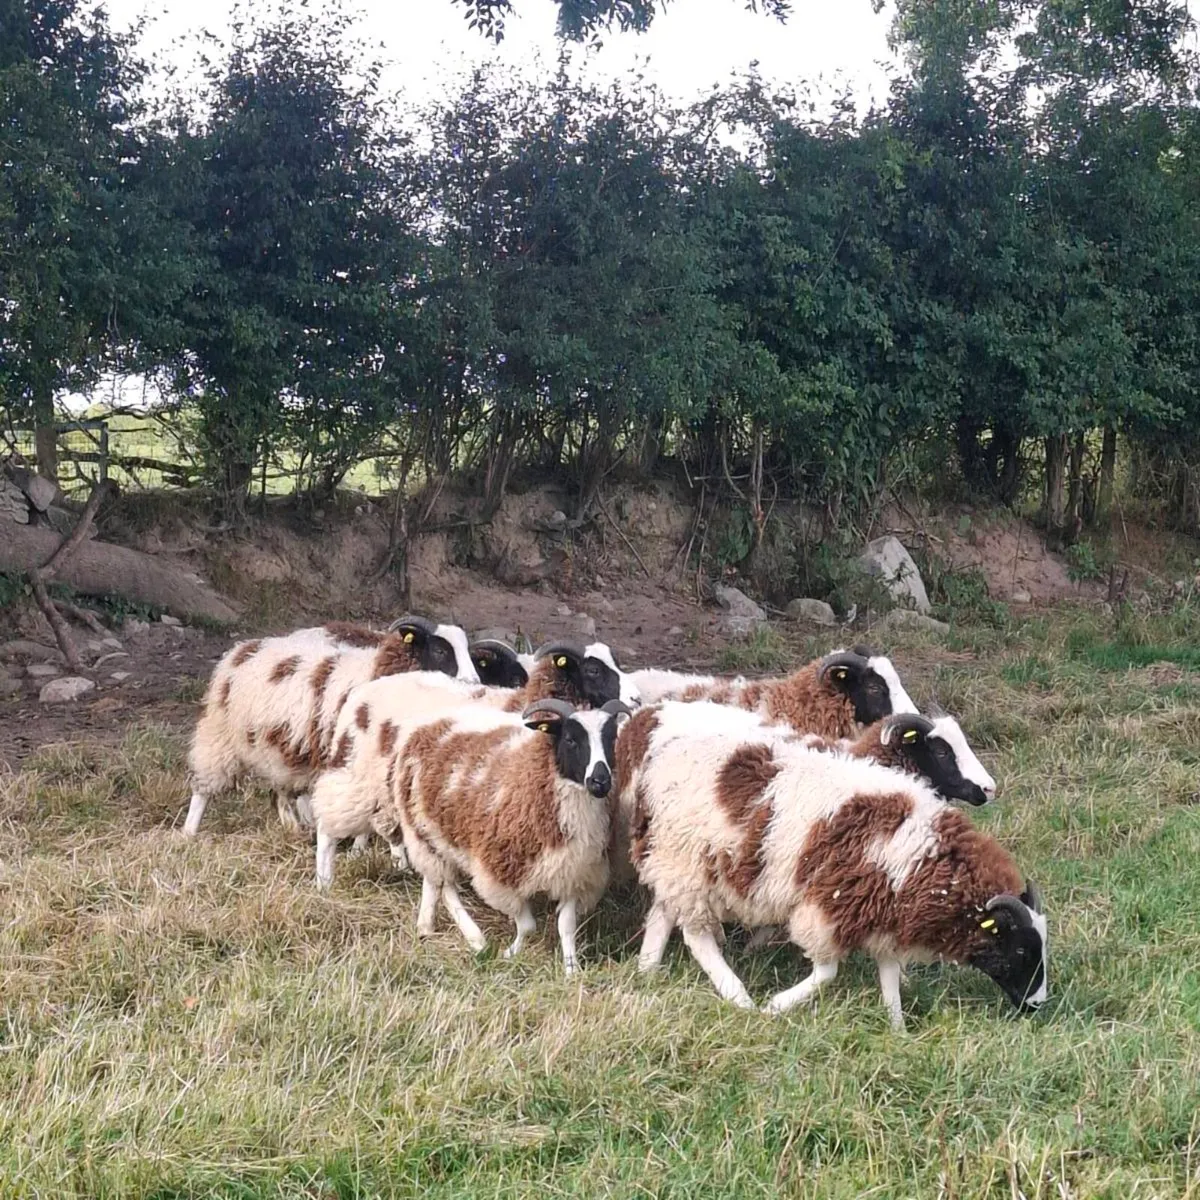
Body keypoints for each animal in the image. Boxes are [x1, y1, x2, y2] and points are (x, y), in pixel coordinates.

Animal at [182, 614, 479, 836]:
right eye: (440, 650)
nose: (474, 681)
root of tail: (243, 648)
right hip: (220, 734)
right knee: (203, 788)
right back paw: (189, 832)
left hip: (280, 745)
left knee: (282, 788)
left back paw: (294, 827)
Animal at [316, 698, 633, 974]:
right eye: (570, 739)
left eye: (610, 739)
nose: (600, 781)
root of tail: (427, 725)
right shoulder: (499, 873)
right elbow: (528, 926)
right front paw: (510, 953)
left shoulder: (572, 873)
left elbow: (566, 927)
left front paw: (572, 969)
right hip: (416, 824)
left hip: (430, 833)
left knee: (436, 882)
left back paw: (426, 927)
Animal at [625, 720, 1046, 1028]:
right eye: (1020, 948)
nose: (1037, 1005)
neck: (926, 858)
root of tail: (661, 755)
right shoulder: (828, 907)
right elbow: (828, 971)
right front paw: (777, 1005)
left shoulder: (883, 914)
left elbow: (888, 977)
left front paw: (897, 1028)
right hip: (688, 863)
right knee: (697, 936)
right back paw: (738, 995)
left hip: (675, 861)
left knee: (662, 914)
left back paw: (648, 970)